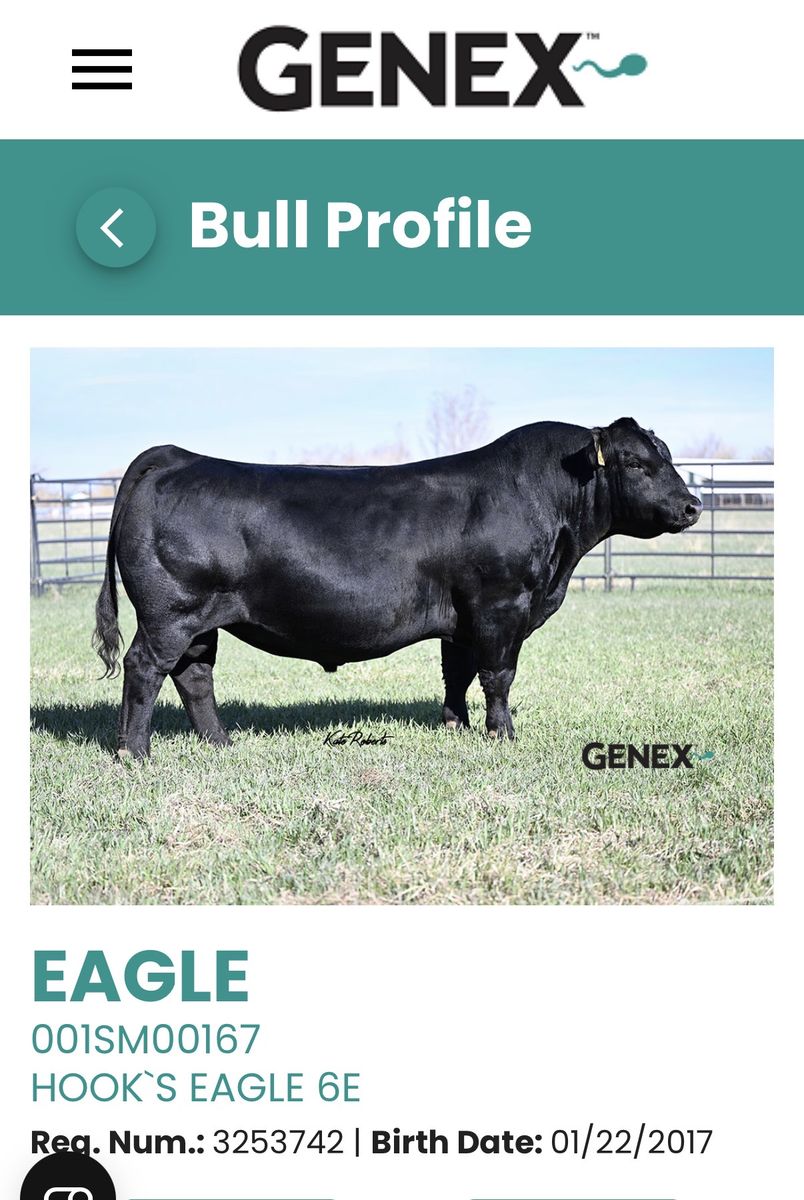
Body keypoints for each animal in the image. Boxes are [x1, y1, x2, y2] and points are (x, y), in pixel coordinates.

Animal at [93, 417, 702, 758]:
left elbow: (458, 673)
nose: (693, 505)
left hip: (203, 620)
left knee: (194, 675)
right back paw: (134, 753)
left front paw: (456, 727)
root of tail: (174, 456)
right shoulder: (501, 605)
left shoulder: (462, 618)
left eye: (668, 456)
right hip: (171, 612)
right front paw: (502, 736)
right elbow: (498, 676)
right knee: (146, 668)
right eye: (633, 462)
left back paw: (220, 745)